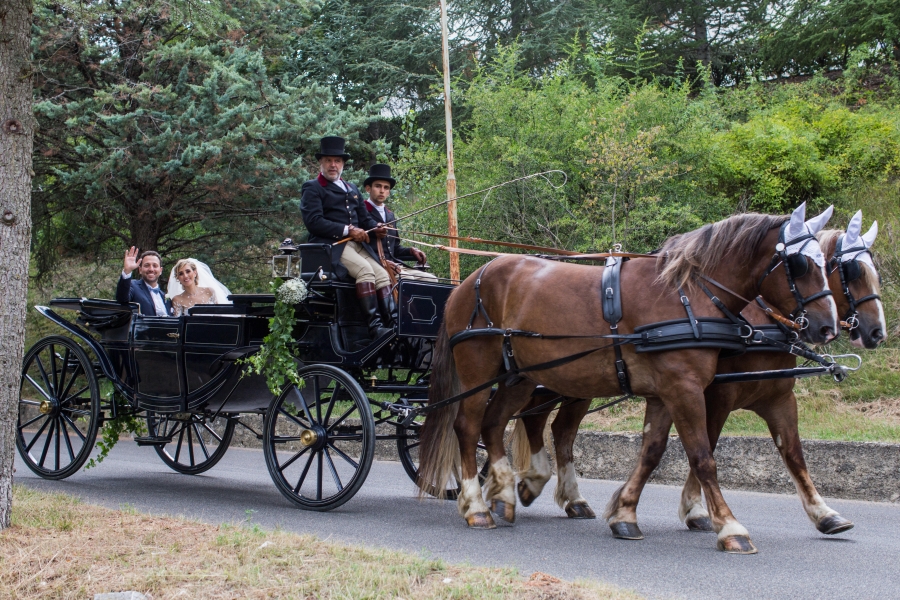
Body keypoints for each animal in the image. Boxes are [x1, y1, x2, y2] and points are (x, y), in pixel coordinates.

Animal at [418, 206, 840, 552]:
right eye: (800, 265)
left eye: (827, 264)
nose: (828, 327)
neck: (687, 296)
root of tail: (470, 279)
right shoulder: (685, 389)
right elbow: (703, 457)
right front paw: (729, 527)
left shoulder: (665, 394)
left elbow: (653, 453)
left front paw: (624, 516)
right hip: (479, 368)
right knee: (468, 426)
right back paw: (476, 505)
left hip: (518, 376)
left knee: (495, 423)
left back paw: (506, 493)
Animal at [510, 214, 884, 540]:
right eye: (851, 272)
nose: (876, 332)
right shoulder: (712, 395)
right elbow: (706, 448)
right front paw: (700, 512)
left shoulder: (777, 397)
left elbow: (793, 453)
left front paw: (825, 514)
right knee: (533, 421)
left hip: (573, 385)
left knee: (557, 429)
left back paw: (566, 496)